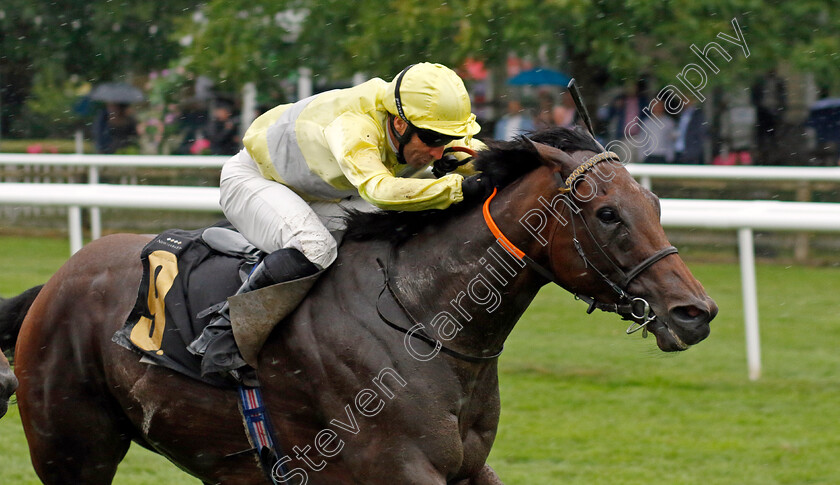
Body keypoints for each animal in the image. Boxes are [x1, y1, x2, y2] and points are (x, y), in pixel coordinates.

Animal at [4, 129, 716, 484]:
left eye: (655, 203)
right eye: (607, 213)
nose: (696, 312)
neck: (422, 321)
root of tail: (55, 282)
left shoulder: (466, 470)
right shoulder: (394, 469)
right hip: (74, 451)